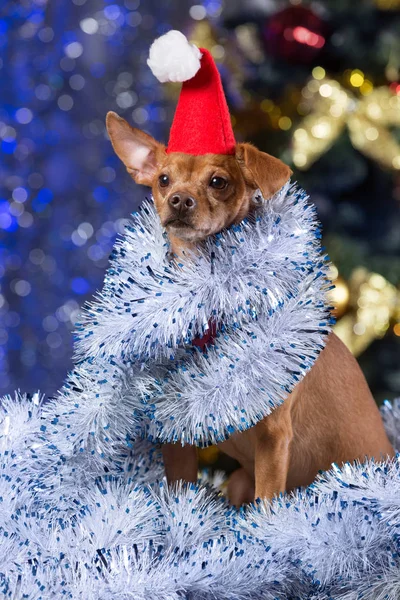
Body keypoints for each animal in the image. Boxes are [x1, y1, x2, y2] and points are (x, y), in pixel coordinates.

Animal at [105, 111, 394, 506]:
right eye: (163, 180)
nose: (179, 200)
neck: (208, 296)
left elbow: (267, 503)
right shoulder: (175, 440)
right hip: (240, 479)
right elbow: (180, 491)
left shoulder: (274, 438)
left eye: (218, 182)